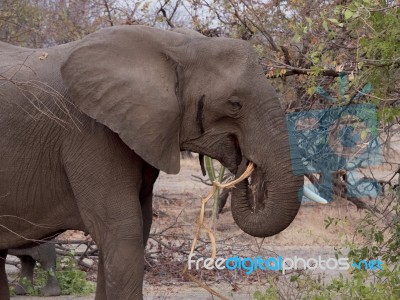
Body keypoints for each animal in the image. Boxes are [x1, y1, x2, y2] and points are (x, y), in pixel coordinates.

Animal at [0, 26, 302, 300]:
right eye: (235, 103)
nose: (243, 163)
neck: (177, 45)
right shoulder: (90, 134)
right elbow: (123, 231)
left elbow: (137, 229)